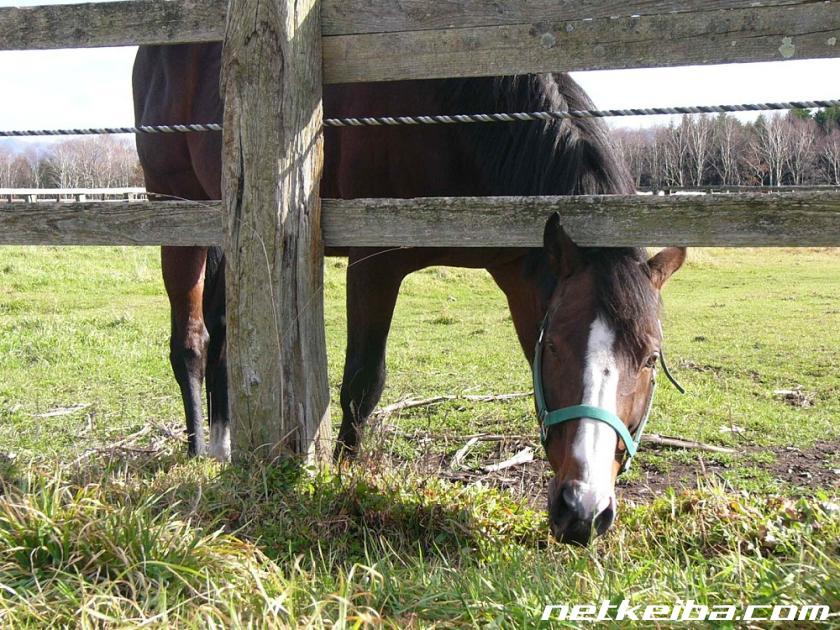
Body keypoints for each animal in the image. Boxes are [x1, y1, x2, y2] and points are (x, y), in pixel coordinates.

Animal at [131, 44, 684, 544]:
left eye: (649, 359)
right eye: (555, 348)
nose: (585, 509)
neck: (459, 118)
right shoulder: (374, 264)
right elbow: (363, 383)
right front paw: (345, 478)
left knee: (224, 333)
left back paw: (223, 445)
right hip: (175, 208)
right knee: (192, 341)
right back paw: (198, 451)